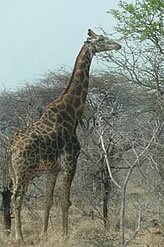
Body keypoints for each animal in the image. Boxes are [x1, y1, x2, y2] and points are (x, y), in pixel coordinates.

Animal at [9, 28, 120, 241]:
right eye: (101, 39)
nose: (118, 45)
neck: (72, 113)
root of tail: (11, 148)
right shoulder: (70, 161)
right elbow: (65, 201)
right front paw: (65, 235)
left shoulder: (53, 168)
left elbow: (49, 200)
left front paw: (44, 234)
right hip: (24, 169)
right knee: (16, 197)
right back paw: (19, 237)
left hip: (18, 171)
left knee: (14, 196)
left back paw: (16, 235)